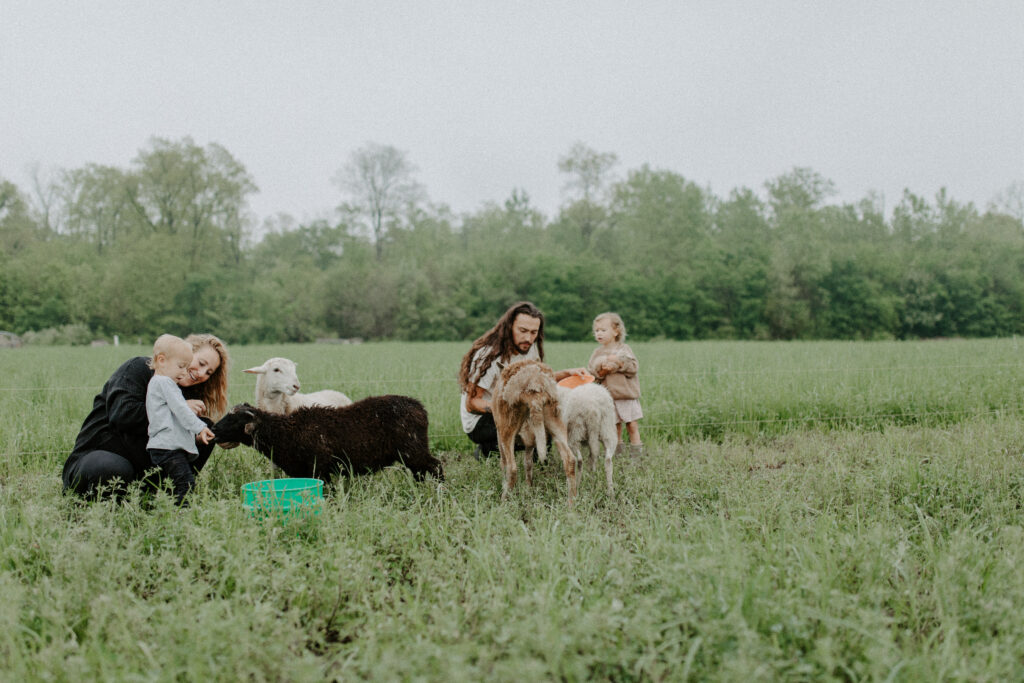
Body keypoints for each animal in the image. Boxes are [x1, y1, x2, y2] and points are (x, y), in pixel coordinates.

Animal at [209, 393, 442, 483]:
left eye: (234, 420)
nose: (213, 430)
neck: (284, 433)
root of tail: (419, 407)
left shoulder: (320, 470)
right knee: (422, 472)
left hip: (414, 450)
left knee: (436, 466)